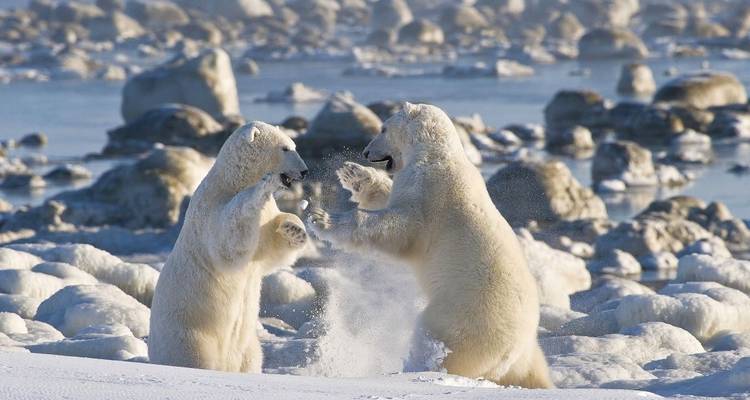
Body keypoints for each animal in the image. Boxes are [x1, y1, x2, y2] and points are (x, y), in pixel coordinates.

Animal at [149, 121, 309, 373]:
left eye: (293, 145)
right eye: (285, 148)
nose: (304, 171)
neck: (231, 181)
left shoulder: (264, 221)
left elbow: (269, 252)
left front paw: (295, 229)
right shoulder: (210, 208)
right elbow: (228, 241)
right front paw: (262, 187)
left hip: (247, 345)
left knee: (252, 357)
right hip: (189, 333)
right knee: (195, 358)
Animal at [309, 103, 553, 388]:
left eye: (383, 128)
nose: (366, 152)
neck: (436, 153)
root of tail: (517, 349)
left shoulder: (430, 193)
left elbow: (399, 227)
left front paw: (322, 219)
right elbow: (389, 196)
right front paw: (354, 173)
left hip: (463, 316)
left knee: (440, 341)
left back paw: (417, 369)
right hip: (524, 352)